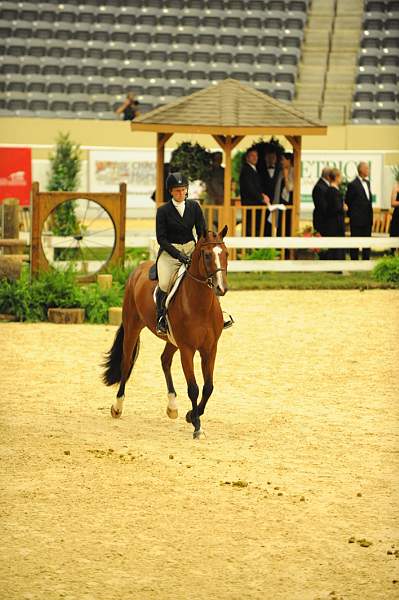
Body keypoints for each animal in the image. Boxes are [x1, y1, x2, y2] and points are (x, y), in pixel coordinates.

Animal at [101, 225, 230, 436]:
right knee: (127, 363)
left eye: (226, 253)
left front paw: (191, 415)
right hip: (133, 326)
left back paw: (172, 407)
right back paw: (117, 407)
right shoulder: (187, 350)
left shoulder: (210, 349)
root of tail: (138, 269)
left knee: (165, 360)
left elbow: (208, 387)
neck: (200, 305)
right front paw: (197, 426)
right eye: (207, 255)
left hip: (171, 340)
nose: (221, 288)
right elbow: (193, 388)